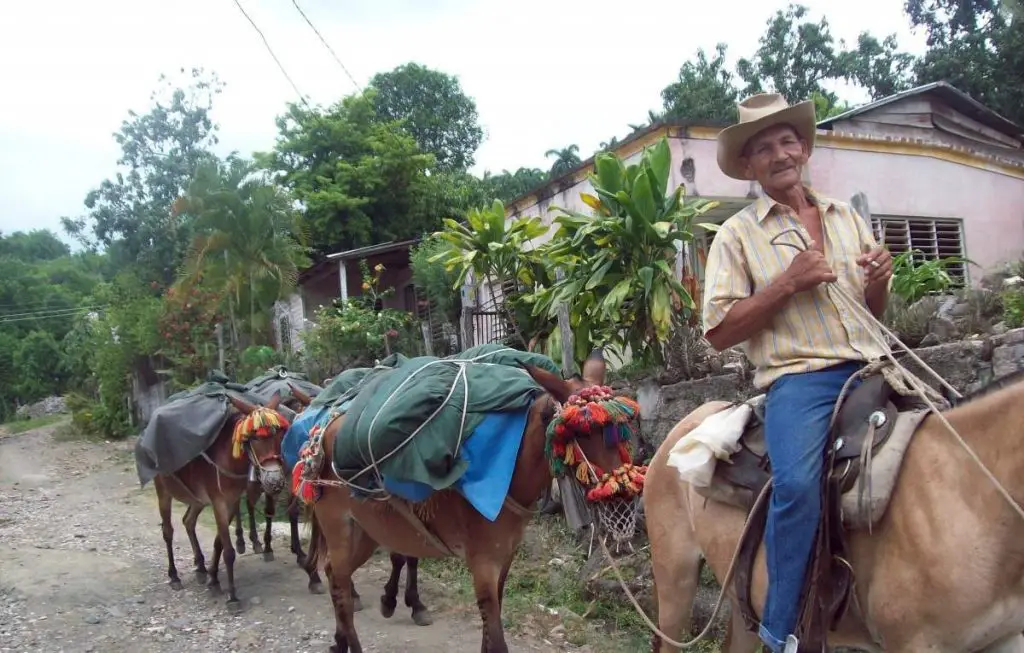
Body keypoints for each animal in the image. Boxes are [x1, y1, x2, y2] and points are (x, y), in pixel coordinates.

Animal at [155, 390, 292, 610]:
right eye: (253, 438)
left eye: (280, 435)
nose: (275, 481)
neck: (228, 459)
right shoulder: (219, 503)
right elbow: (228, 551)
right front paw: (232, 597)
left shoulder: (231, 502)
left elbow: (219, 542)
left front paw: (213, 579)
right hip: (163, 492)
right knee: (168, 532)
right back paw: (174, 576)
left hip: (197, 500)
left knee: (188, 521)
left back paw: (201, 568)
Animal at [303, 352, 634, 653]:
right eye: (579, 430)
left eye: (621, 428)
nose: (622, 499)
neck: (507, 473)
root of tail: (324, 428)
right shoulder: (482, 562)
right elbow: (496, 638)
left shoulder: (505, 559)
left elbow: (490, 629)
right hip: (338, 526)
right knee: (340, 585)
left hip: (367, 533)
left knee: (334, 573)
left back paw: (339, 640)